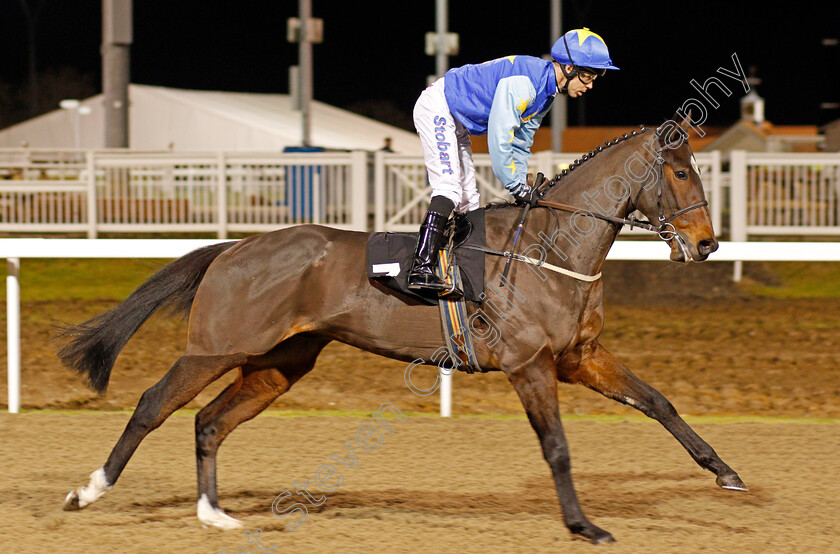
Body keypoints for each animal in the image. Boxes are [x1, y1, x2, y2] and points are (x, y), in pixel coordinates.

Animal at [57, 113, 748, 544]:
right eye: (681, 172)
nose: (707, 244)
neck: (549, 247)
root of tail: (234, 247)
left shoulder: (581, 356)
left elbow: (658, 401)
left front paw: (726, 472)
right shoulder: (529, 365)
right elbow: (557, 446)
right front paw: (584, 525)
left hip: (280, 364)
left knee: (209, 421)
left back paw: (214, 514)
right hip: (216, 347)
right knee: (153, 404)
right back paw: (88, 491)